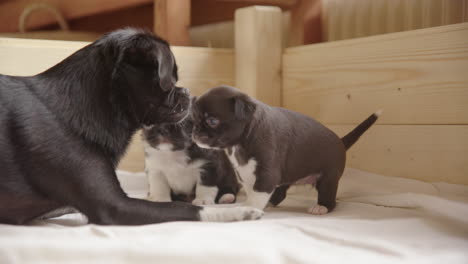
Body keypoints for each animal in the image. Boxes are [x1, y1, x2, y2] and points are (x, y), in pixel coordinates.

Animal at [191, 86, 380, 214]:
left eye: (212, 121)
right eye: (194, 119)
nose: (195, 131)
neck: (240, 143)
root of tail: (341, 141)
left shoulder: (267, 172)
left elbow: (258, 191)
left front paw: (251, 207)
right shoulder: (246, 171)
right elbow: (253, 190)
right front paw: (249, 204)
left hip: (329, 178)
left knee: (329, 197)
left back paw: (321, 207)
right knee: (280, 193)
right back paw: (270, 203)